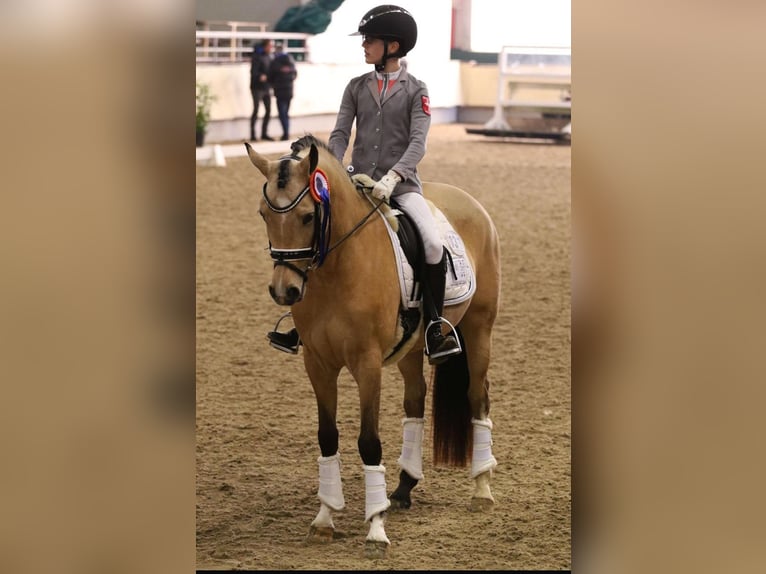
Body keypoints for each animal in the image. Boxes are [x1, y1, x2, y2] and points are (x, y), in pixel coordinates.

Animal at [243, 135, 500, 560]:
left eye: (309, 217)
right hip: (411, 348)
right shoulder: (318, 364)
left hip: (480, 328)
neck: (336, 269)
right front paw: (325, 518)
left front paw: (375, 528)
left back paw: (481, 488)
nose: (285, 291)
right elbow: (327, 436)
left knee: (477, 397)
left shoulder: (367, 364)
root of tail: (470, 201)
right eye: (263, 214)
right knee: (415, 401)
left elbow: (368, 442)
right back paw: (404, 488)